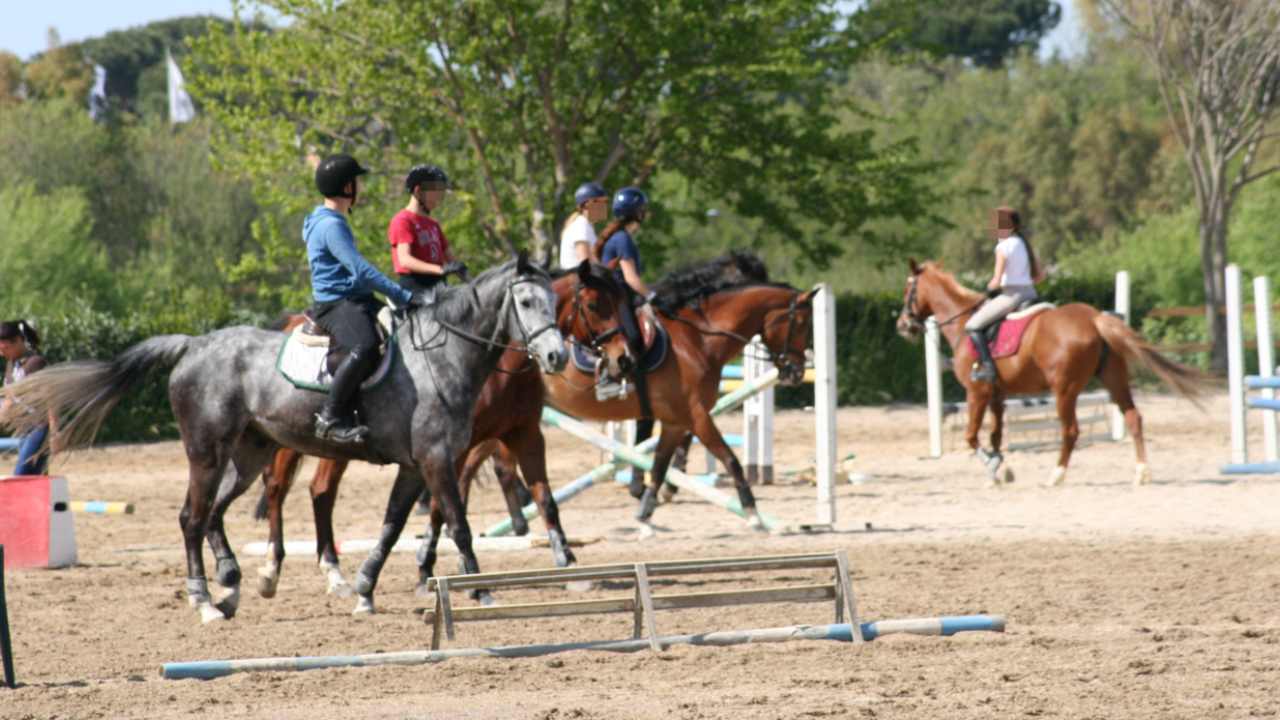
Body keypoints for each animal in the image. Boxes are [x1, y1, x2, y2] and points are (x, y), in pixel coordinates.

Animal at [1, 254, 565, 620]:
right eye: (526, 301)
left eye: (553, 302)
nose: (557, 356)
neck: (443, 355)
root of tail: (193, 345)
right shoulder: (436, 459)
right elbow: (459, 525)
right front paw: (481, 591)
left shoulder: (415, 465)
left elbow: (391, 527)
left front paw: (364, 590)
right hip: (207, 453)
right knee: (191, 517)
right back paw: (204, 600)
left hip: (248, 456)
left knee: (215, 513)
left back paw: (231, 584)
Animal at [252, 260, 627, 597]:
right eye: (594, 305)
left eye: (551, 301)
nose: (622, 358)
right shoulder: (447, 450)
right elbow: (443, 507)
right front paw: (433, 569)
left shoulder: (524, 433)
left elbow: (545, 499)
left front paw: (570, 566)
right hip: (295, 439)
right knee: (286, 488)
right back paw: (278, 570)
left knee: (316, 491)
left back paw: (327, 572)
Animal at [896, 256, 1203, 481]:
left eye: (908, 290)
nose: (903, 325)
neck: (963, 324)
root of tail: (1093, 318)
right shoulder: (997, 394)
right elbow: (996, 435)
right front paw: (1000, 469)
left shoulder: (977, 392)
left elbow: (971, 436)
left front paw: (993, 467)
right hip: (1114, 379)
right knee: (1133, 417)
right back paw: (1142, 473)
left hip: (1064, 390)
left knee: (1071, 431)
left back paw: (1056, 475)